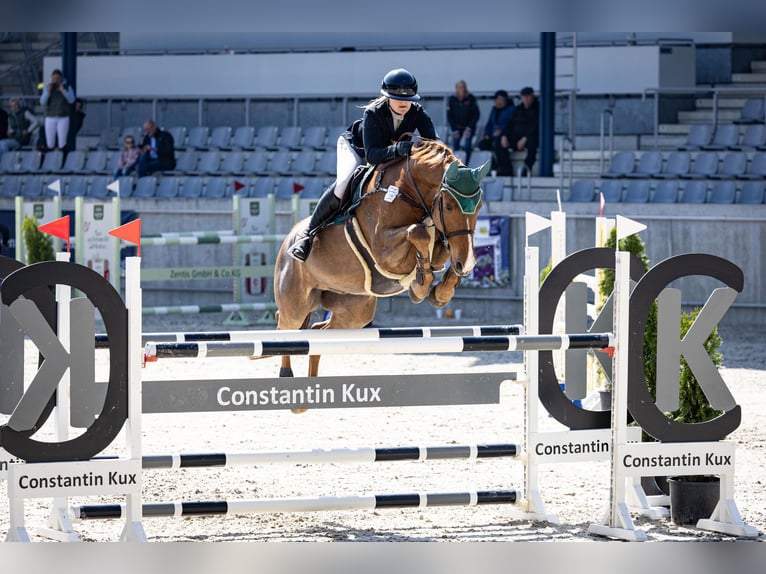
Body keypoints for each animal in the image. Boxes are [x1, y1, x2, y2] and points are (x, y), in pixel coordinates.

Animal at [273, 139, 491, 381]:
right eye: (450, 206)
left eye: (479, 206)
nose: (468, 264)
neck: (405, 191)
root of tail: (288, 239)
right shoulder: (385, 250)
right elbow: (418, 232)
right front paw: (421, 286)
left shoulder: (441, 240)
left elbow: (441, 249)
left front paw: (441, 291)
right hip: (296, 304)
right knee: (284, 327)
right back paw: (285, 373)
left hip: (355, 311)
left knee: (317, 333)